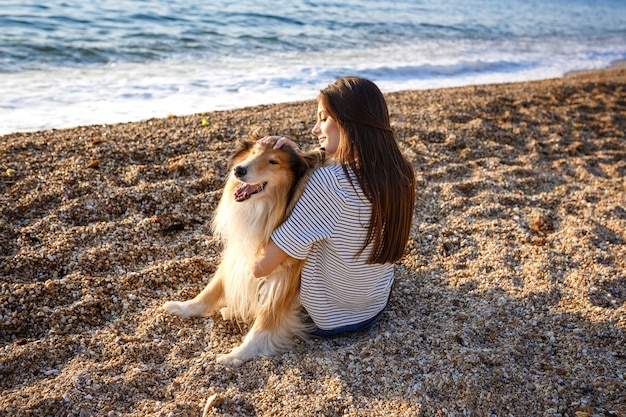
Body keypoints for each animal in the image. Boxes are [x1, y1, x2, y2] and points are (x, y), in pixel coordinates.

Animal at [162, 136, 322, 364]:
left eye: (274, 162)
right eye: (253, 153)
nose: (238, 170)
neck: (267, 209)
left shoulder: (284, 277)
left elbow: (265, 324)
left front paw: (236, 355)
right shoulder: (238, 252)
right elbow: (212, 288)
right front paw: (184, 307)